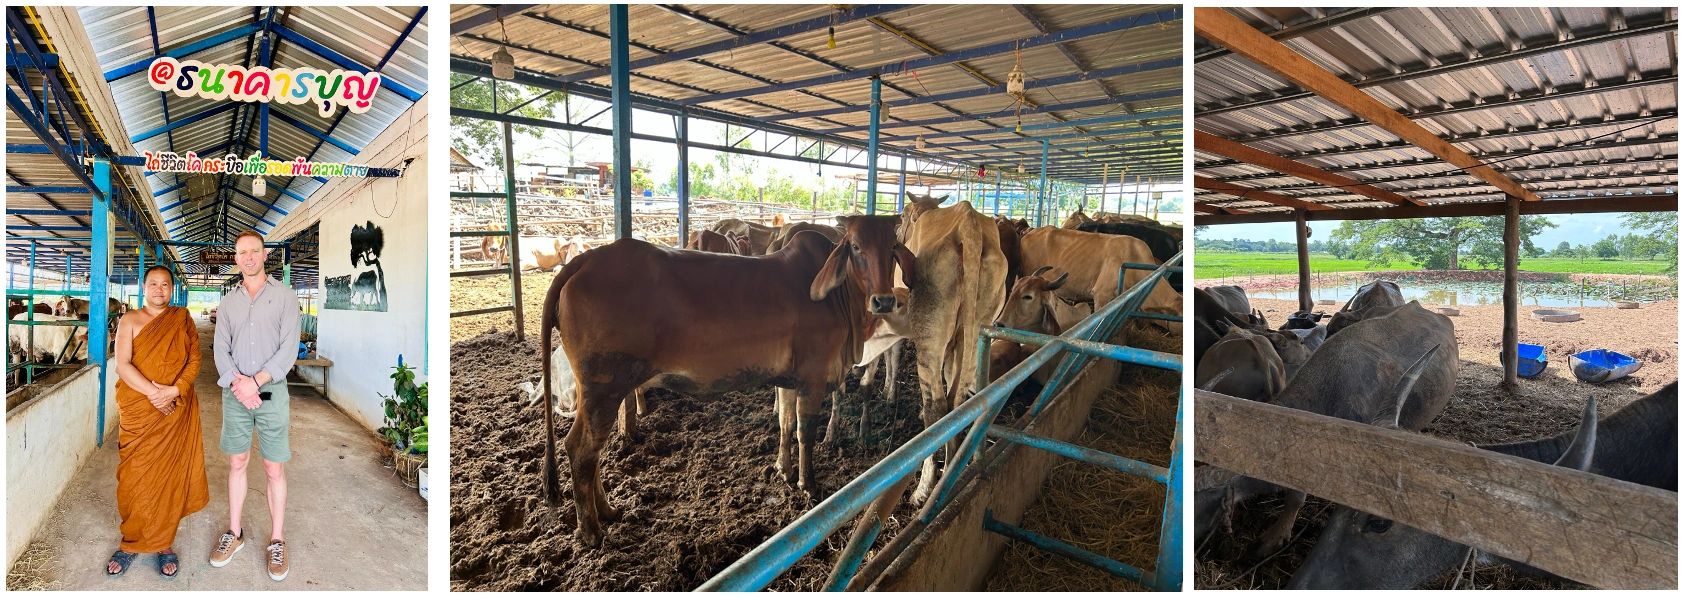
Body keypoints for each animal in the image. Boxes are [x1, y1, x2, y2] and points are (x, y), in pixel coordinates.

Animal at [539, 216, 912, 547]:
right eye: (855, 246)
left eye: (892, 245)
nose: (883, 300)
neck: (840, 299)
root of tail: (585, 260)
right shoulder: (812, 378)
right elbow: (805, 432)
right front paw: (808, 482)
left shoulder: (789, 380)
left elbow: (785, 422)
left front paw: (783, 469)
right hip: (604, 389)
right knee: (582, 450)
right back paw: (592, 530)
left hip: (597, 393)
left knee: (591, 451)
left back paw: (607, 511)